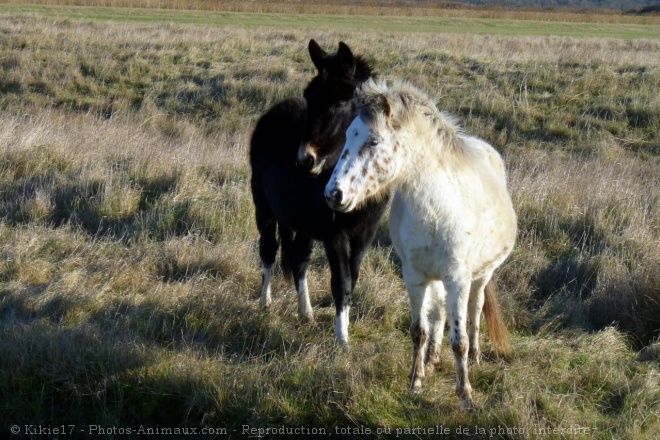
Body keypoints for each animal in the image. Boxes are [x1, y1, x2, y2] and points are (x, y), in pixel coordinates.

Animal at [251, 39, 386, 346]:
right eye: (309, 96)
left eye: (339, 102)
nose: (304, 160)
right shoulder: (333, 233)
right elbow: (340, 282)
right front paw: (342, 340)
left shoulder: (364, 235)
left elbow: (352, 280)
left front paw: (343, 329)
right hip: (264, 209)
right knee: (268, 250)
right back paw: (265, 303)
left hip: (301, 221)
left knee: (299, 260)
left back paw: (306, 313)